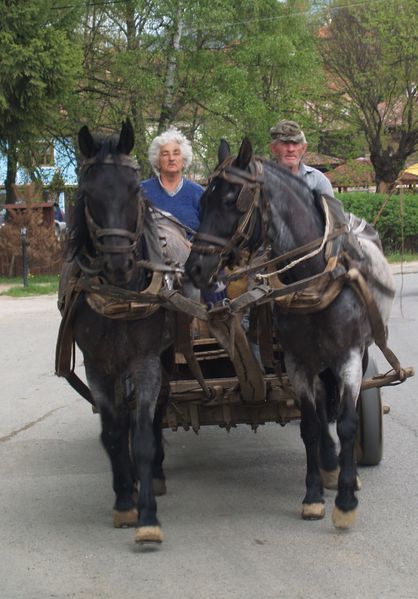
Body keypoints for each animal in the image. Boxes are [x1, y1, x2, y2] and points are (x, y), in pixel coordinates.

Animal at [186, 137, 396, 528]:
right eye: (203, 200)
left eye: (231, 200)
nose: (195, 267)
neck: (316, 277)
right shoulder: (298, 362)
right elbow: (310, 425)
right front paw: (313, 495)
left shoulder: (347, 357)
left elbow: (347, 422)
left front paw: (346, 500)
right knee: (323, 406)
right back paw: (329, 464)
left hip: (358, 354)